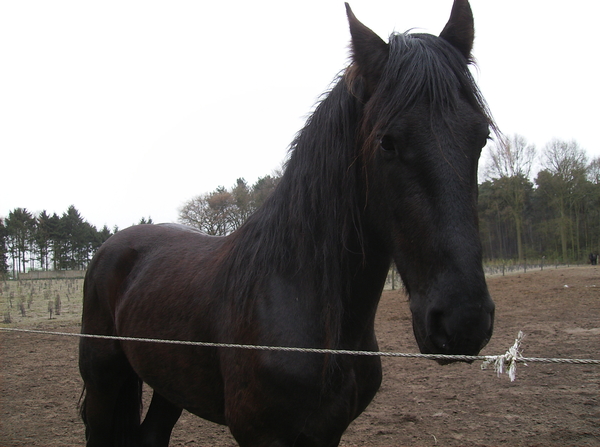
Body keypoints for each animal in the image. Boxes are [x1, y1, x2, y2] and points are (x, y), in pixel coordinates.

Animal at [77, 1, 494, 446]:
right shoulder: (260, 435)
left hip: (169, 385)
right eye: (387, 142)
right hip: (103, 379)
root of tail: (113, 246)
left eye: (481, 137)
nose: (464, 321)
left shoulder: (328, 432)